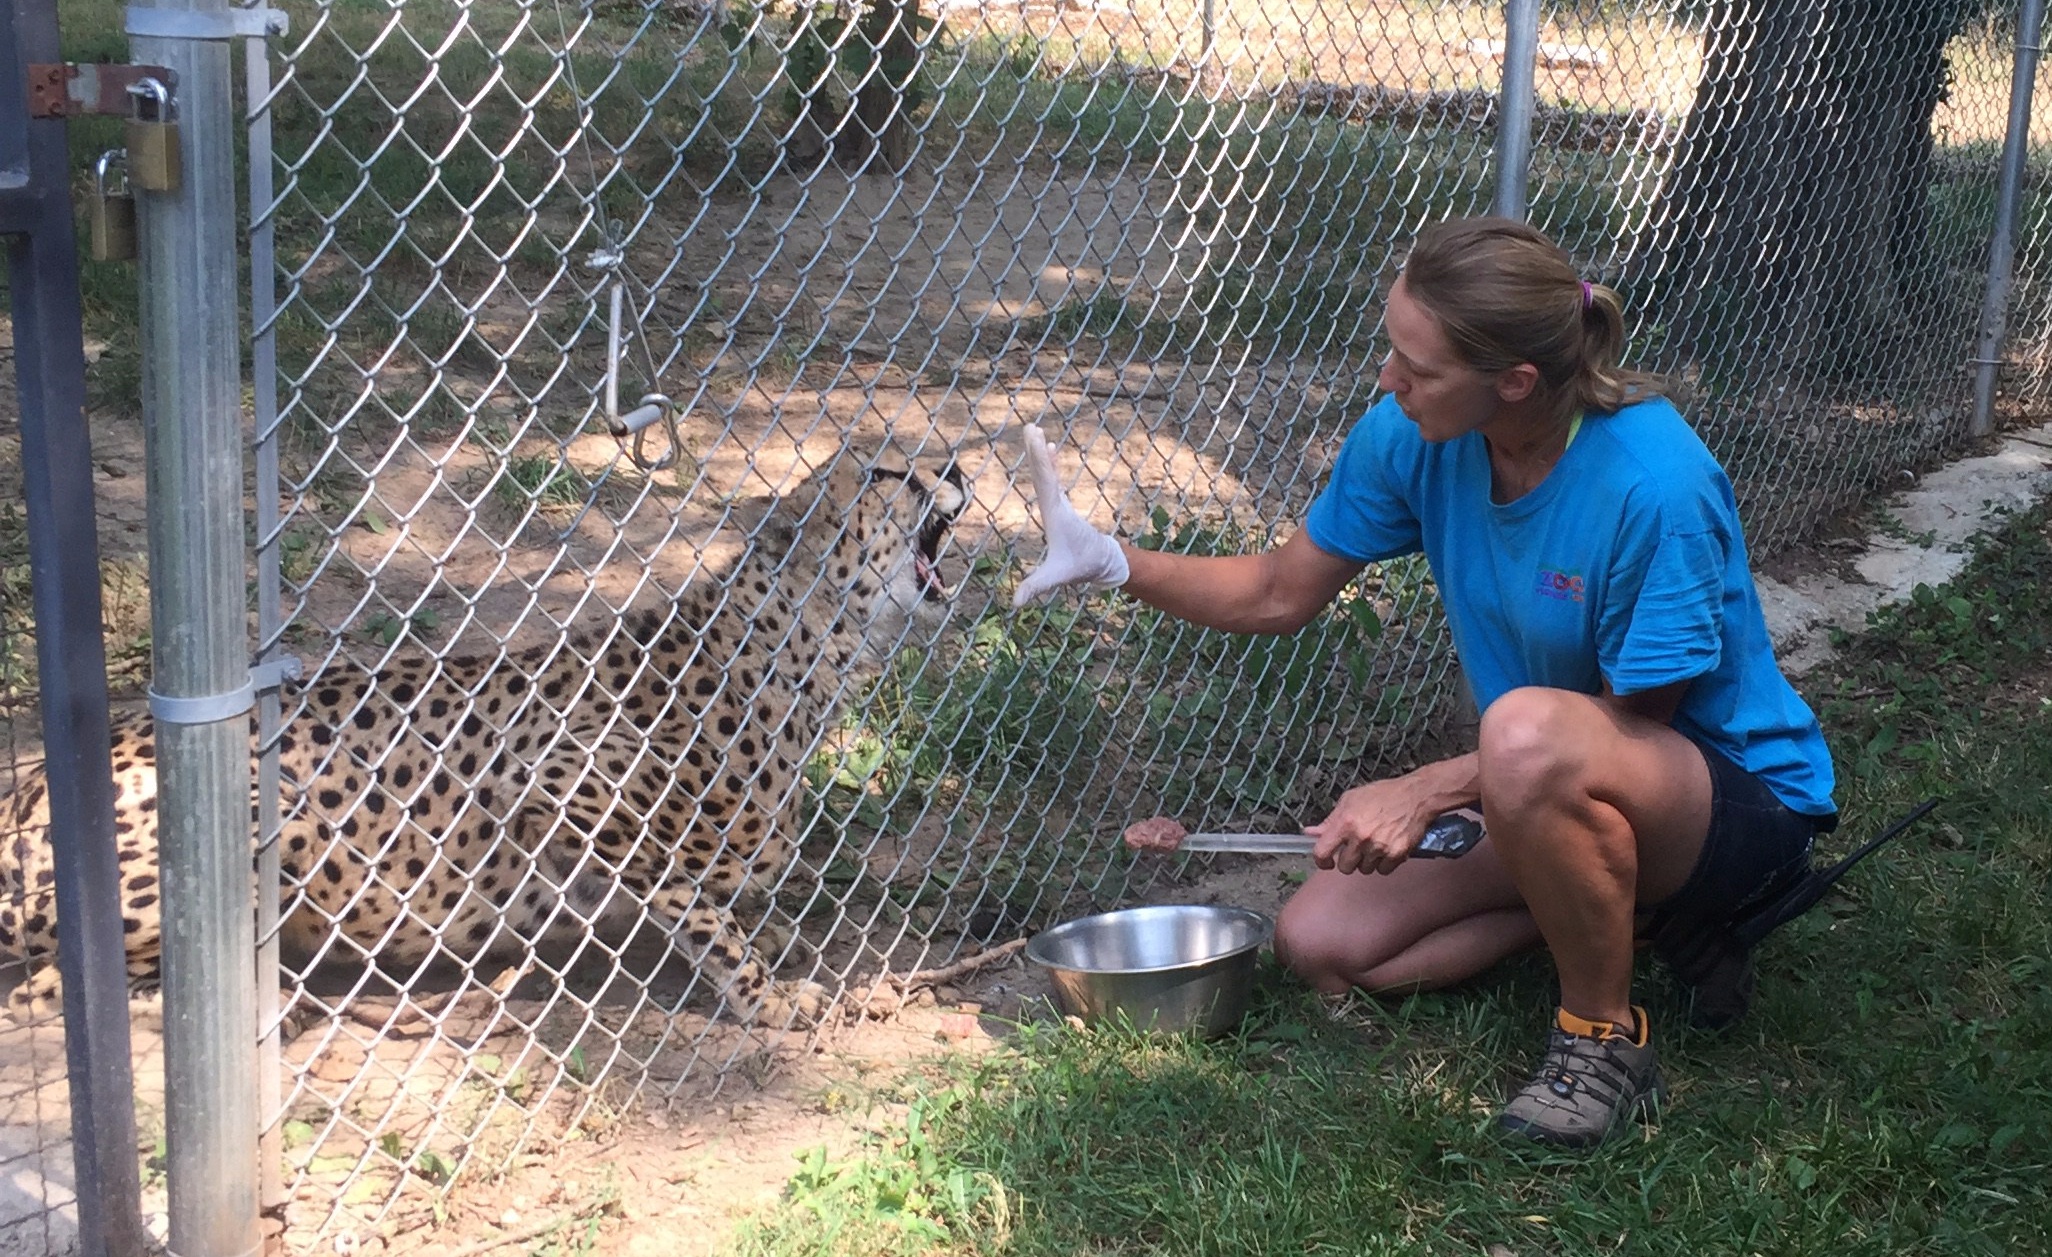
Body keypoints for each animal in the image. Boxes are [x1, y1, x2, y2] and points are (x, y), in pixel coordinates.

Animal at [0, 455, 968, 1025]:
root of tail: (28, 781)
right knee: (52, 989)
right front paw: (771, 997)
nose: (956, 464)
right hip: (252, 821)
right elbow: (700, 906)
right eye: (890, 471)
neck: (807, 641)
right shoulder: (556, 772)